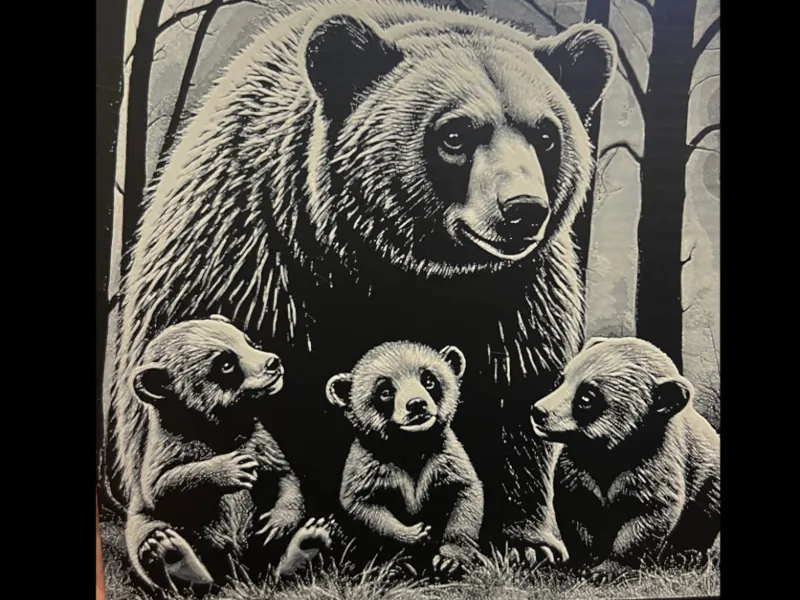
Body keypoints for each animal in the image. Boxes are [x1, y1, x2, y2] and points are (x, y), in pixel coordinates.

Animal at [124, 316, 318, 594]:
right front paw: (230, 469)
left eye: (249, 342)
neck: (222, 428)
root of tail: (239, 575)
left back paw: (306, 545)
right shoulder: (168, 447)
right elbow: (163, 486)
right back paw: (173, 557)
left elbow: (284, 476)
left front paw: (277, 522)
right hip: (157, 529)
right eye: (226, 364)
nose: (273, 362)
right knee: (151, 536)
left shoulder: (260, 441)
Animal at [324, 341, 483, 578]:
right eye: (385, 392)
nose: (416, 404)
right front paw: (411, 533)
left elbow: (466, 495)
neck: (411, 446)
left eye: (428, 380)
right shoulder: (367, 465)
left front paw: (451, 558)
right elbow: (361, 506)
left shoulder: (446, 457)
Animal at [530, 336, 721, 584]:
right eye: (562, 380)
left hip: (710, 482)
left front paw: (608, 568)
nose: (538, 411)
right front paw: (584, 561)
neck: (609, 453)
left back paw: (687, 554)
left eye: (586, 397)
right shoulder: (576, 470)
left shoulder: (652, 466)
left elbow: (646, 517)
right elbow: (576, 511)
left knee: (701, 520)